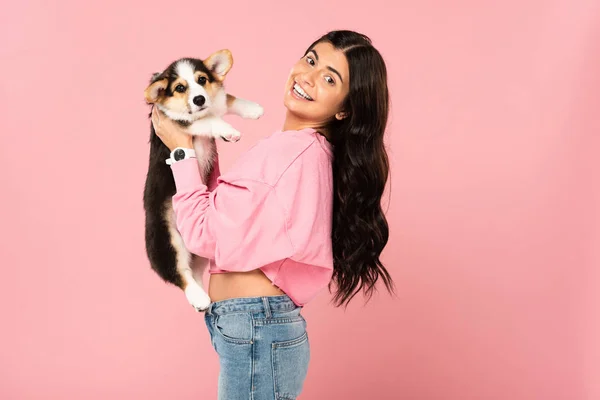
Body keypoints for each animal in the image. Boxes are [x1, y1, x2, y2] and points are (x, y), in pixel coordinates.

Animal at [143, 50, 264, 310]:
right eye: (179, 87)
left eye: (202, 80)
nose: (199, 99)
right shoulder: (183, 122)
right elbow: (210, 121)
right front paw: (229, 131)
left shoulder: (215, 101)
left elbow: (227, 99)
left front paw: (253, 109)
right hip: (168, 241)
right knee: (181, 275)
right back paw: (198, 297)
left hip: (199, 252)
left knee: (194, 272)